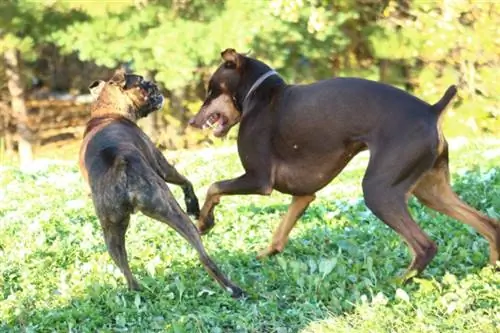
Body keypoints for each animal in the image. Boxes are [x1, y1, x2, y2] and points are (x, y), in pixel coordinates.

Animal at [79, 69, 244, 296]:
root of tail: (120, 161)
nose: (154, 84)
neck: (106, 112)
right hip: (172, 208)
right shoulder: (163, 167)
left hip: (111, 232)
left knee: (125, 269)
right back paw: (233, 288)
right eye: (142, 82)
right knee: (204, 255)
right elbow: (186, 181)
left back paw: (137, 291)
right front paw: (193, 205)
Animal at [188, 48, 500, 280]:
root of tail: (432, 110)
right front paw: (266, 253)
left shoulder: (258, 179)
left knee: (425, 247)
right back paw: (491, 269)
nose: (192, 121)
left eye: (210, 91)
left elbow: (213, 187)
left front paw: (203, 222)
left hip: (379, 191)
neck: (260, 95)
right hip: (431, 191)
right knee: (489, 224)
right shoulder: (304, 195)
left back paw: (396, 282)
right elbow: (280, 232)